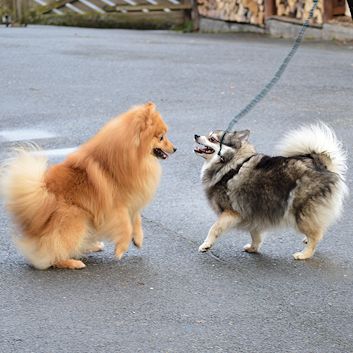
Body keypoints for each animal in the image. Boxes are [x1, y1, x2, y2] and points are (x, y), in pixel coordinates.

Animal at [0, 102, 176, 270]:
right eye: (161, 137)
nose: (175, 148)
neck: (133, 158)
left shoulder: (132, 199)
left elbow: (137, 219)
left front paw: (138, 239)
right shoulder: (115, 207)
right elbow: (126, 225)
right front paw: (121, 249)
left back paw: (92, 247)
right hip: (76, 218)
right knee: (52, 255)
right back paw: (72, 263)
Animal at [195, 123, 346, 258]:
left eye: (212, 139)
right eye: (207, 135)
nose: (196, 135)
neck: (231, 163)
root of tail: (321, 165)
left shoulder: (231, 212)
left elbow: (214, 228)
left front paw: (206, 245)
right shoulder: (252, 213)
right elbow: (255, 235)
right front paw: (253, 248)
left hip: (300, 212)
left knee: (316, 235)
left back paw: (304, 254)